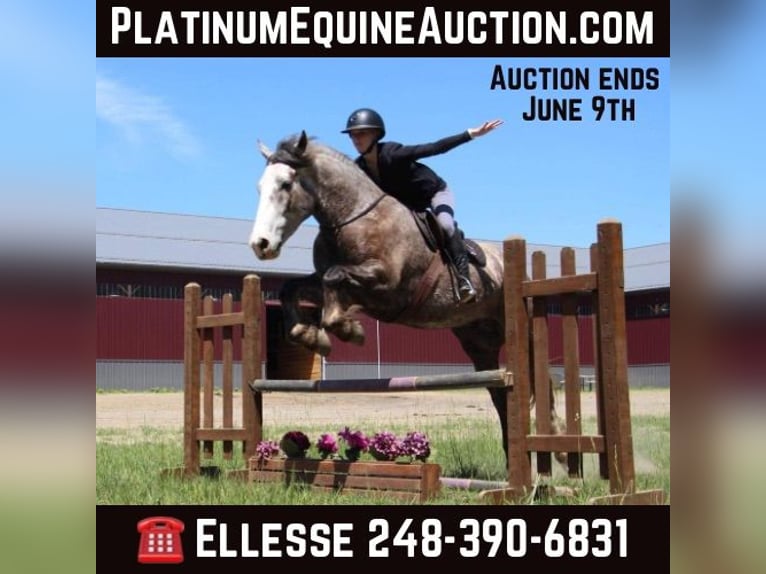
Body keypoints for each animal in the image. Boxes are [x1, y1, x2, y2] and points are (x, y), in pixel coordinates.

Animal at [248, 131, 562, 464]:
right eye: (260, 186)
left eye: (285, 184)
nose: (260, 245)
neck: (353, 218)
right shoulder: (335, 285)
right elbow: (293, 289)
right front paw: (311, 335)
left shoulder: (386, 285)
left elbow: (335, 277)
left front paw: (348, 330)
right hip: (479, 342)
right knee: (500, 393)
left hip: (520, 329)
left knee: (541, 382)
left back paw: (558, 452)